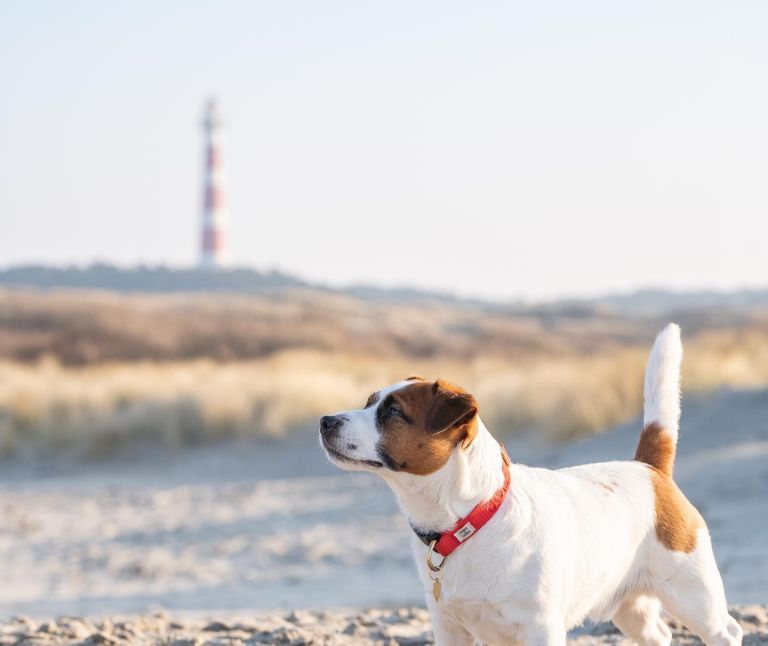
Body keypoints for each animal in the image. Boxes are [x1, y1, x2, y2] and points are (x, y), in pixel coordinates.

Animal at [320, 330, 744, 646]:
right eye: (369, 402)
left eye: (393, 412)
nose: (325, 421)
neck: (468, 520)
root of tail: (649, 469)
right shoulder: (448, 627)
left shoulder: (541, 628)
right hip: (630, 607)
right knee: (658, 634)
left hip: (693, 596)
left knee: (727, 631)